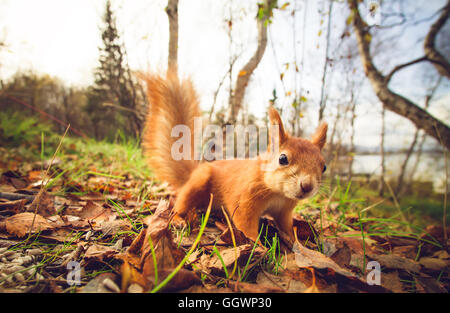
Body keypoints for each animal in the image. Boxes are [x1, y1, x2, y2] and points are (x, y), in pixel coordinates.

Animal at [144, 71, 326, 241]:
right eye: (282, 159)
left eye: (324, 166)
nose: (307, 186)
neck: (278, 193)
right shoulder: (245, 200)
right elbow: (245, 224)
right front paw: (257, 245)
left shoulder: (284, 211)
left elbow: (287, 227)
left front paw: (297, 243)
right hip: (197, 183)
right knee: (180, 204)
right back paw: (177, 219)